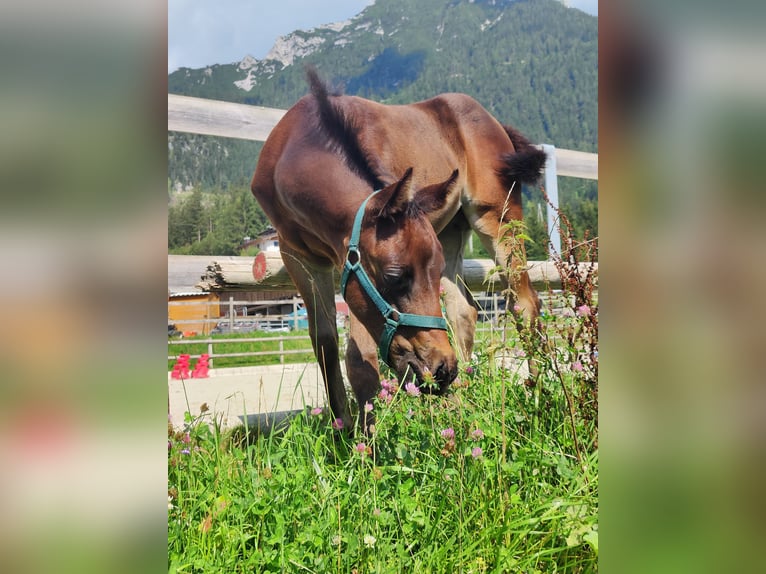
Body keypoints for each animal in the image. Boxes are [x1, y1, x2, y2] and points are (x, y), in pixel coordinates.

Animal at [252, 68, 544, 432]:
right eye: (394, 277)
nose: (443, 369)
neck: (296, 149)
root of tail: (495, 123)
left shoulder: (350, 268)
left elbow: (359, 357)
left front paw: (368, 440)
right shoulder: (299, 256)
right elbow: (324, 340)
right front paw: (342, 431)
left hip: (497, 217)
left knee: (524, 303)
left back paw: (537, 395)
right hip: (452, 231)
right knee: (463, 311)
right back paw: (462, 403)